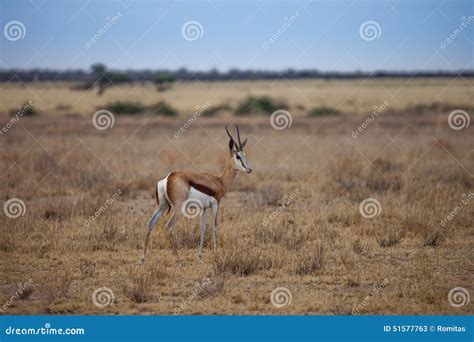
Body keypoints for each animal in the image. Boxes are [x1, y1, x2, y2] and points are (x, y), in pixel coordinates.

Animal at [140, 125, 252, 262]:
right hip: (178, 209)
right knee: (168, 227)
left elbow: (203, 228)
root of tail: (168, 178)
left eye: (245, 155)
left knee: (150, 223)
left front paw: (200, 255)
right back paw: (179, 261)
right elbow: (214, 226)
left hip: (162, 206)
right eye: (238, 157)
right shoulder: (215, 204)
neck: (219, 181)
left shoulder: (203, 208)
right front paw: (215, 252)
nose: (249, 169)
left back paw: (143, 258)